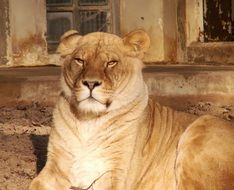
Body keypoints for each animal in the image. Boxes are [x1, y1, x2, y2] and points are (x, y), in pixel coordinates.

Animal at [29, 29, 234, 190]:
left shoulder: (116, 174)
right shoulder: (55, 168)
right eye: (80, 60)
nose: (91, 83)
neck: (89, 120)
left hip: (204, 126)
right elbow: (34, 184)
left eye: (111, 63)